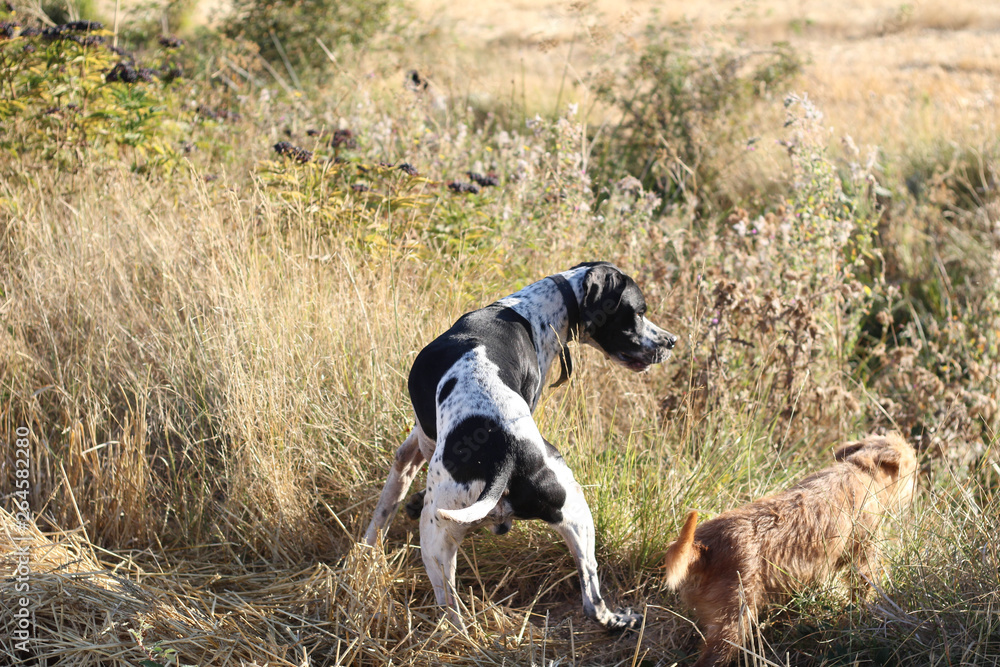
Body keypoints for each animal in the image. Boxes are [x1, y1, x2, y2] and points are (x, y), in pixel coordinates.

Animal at [364, 260, 676, 632]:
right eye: (639, 312)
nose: (672, 341)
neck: (532, 309)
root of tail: (505, 455)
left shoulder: (421, 438)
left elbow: (391, 493)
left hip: (438, 537)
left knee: (452, 613)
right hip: (576, 513)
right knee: (591, 598)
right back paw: (617, 619)